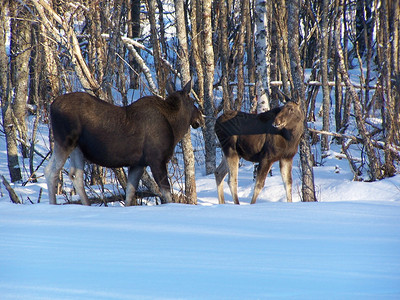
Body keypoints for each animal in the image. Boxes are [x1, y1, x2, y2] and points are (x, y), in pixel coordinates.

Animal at [45, 81, 205, 205]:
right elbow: (166, 193)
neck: (174, 127)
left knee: (74, 174)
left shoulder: (138, 163)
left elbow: (129, 193)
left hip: (76, 148)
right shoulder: (157, 160)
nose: (200, 118)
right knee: (52, 171)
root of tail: (51, 106)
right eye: (193, 101)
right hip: (65, 141)